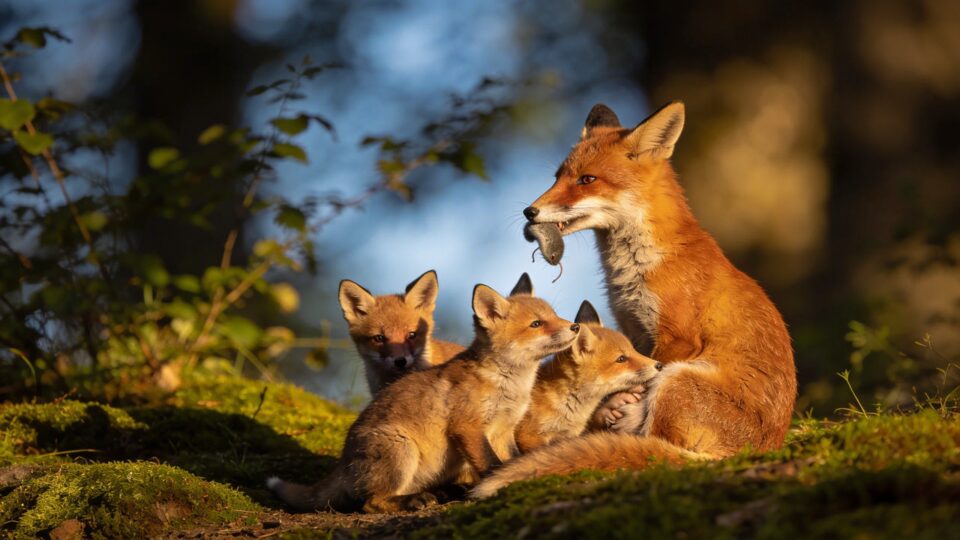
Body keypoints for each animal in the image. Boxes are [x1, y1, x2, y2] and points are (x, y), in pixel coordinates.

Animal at [268, 274, 580, 513]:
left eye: (554, 315)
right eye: (537, 324)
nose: (575, 326)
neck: (508, 384)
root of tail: (343, 460)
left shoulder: (504, 430)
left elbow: (511, 460)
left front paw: (521, 476)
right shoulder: (467, 427)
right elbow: (491, 464)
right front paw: (501, 485)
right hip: (401, 450)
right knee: (370, 503)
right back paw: (412, 501)